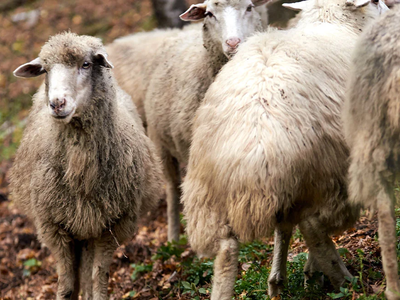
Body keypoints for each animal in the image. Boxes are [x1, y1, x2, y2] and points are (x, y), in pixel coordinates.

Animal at [9, 32, 162, 300]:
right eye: (45, 70)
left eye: (86, 64)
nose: (57, 103)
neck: (80, 172)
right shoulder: (53, 225)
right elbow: (67, 283)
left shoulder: (112, 225)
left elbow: (98, 277)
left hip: (89, 224)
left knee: (89, 271)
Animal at [144, 0, 272, 241]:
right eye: (210, 14)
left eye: (250, 7)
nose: (233, 43)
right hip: (161, 144)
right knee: (172, 188)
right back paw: (173, 238)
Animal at [181, 1, 388, 298]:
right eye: (375, 2)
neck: (334, 24)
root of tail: (252, 152)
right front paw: (306, 275)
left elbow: (283, 228)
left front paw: (278, 280)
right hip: (325, 169)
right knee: (314, 226)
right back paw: (344, 281)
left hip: (207, 195)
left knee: (226, 252)